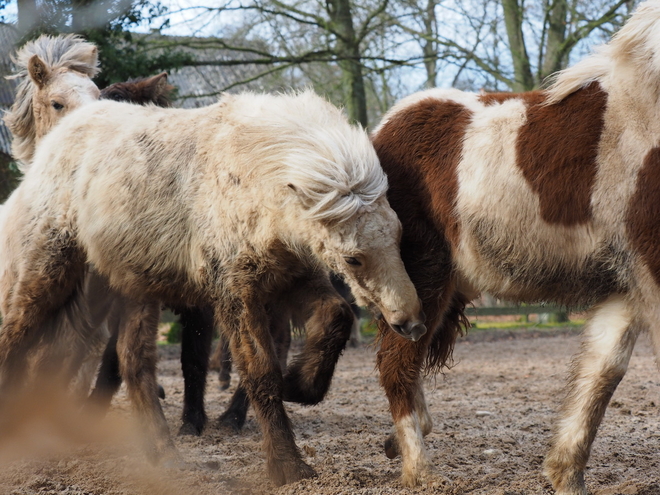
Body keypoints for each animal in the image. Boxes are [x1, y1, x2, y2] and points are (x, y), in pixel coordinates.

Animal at [372, 1, 660, 494]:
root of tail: (379, 131)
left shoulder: (627, 284)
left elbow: (601, 374)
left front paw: (565, 474)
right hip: (421, 279)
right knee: (397, 364)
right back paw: (419, 471)